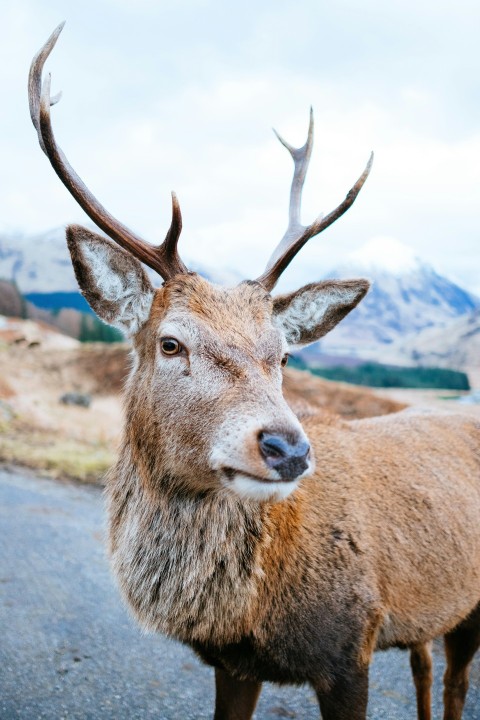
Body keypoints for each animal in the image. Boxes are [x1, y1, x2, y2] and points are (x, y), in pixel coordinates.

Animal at [29, 23, 480, 720]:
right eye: (170, 343)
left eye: (284, 354)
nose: (288, 448)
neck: (250, 615)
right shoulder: (233, 665)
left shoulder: (351, 645)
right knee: (428, 666)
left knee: (456, 681)